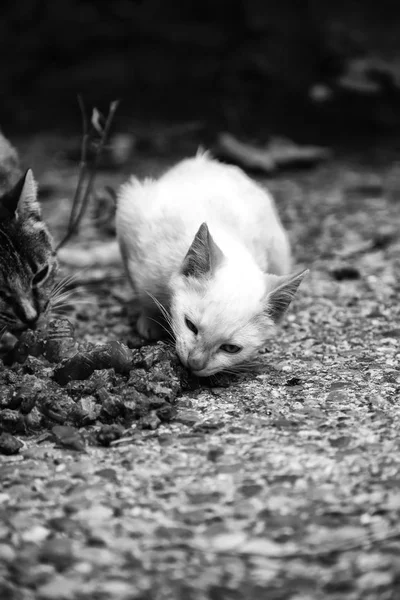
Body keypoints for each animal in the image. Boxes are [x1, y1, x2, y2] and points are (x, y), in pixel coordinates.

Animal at [117, 154, 308, 376]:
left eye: (231, 348)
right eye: (190, 325)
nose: (195, 363)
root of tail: (207, 161)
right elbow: (145, 296)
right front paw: (149, 320)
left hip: (279, 249)